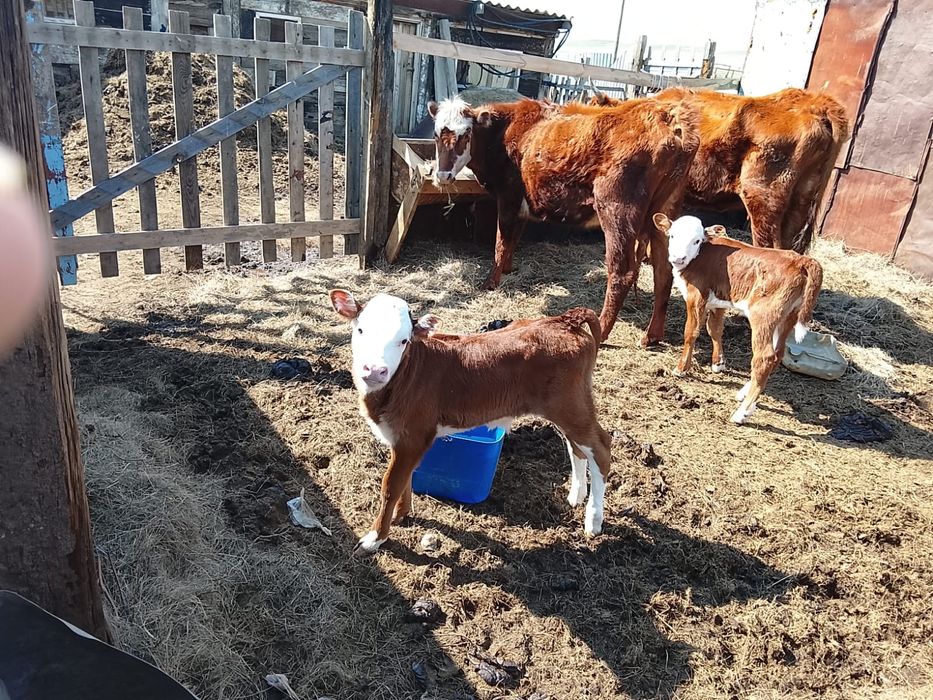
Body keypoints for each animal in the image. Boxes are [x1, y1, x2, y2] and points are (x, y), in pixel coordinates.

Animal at [329, 289, 612, 553]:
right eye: (361, 329)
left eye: (403, 340)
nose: (375, 370)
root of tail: (564, 319)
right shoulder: (402, 438)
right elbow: (406, 479)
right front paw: (401, 515)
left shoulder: (414, 435)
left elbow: (391, 485)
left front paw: (375, 538)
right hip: (567, 408)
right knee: (576, 446)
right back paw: (576, 495)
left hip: (569, 404)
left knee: (600, 446)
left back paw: (594, 520)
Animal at [428, 95, 700, 345]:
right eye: (436, 134)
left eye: (465, 134)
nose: (442, 175)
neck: (506, 130)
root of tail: (670, 121)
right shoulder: (524, 202)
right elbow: (513, 238)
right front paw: (507, 269)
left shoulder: (507, 197)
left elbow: (500, 243)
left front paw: (490, 283)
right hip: (665, 215)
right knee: (663, 272)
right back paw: (652, 335)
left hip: (617, 211)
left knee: (622, 273)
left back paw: (601, 330)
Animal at [653, 213, 824, 424]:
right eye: (672, 235)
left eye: (697, 240)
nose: (678, 258)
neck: (700, 255)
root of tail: (802, 260)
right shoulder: (718, 300)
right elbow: (714, 329)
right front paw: (718, 364)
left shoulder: (696, 296)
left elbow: (691, 332)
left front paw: (681, 369)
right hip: (788, 316)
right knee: (777, 354)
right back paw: (745, 395)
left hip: (763, 315)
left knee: (764, 358)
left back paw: (742, 412)